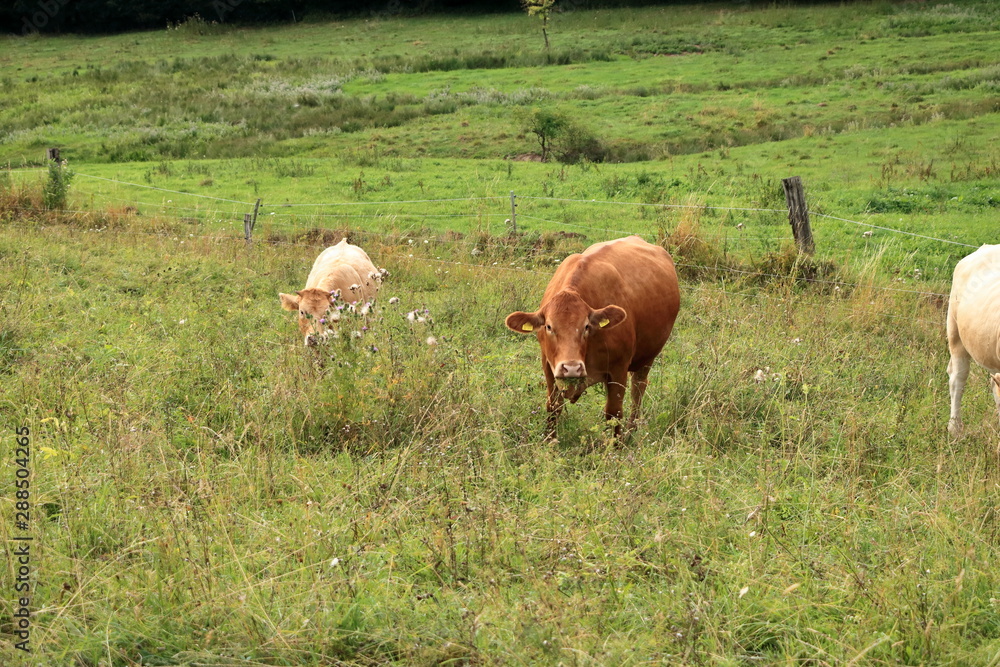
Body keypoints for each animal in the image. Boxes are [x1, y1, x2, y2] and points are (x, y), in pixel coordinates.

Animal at [505, 235, 680, 437]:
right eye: (548, 326)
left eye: (586, 326)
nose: (571, 368)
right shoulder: (548, 366)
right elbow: (553, 406)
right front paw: (550, 439)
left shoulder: (619, 369)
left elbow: (614, 412)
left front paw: (616, 443)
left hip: (647, 357)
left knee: (638, 389)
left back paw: (631, 430)